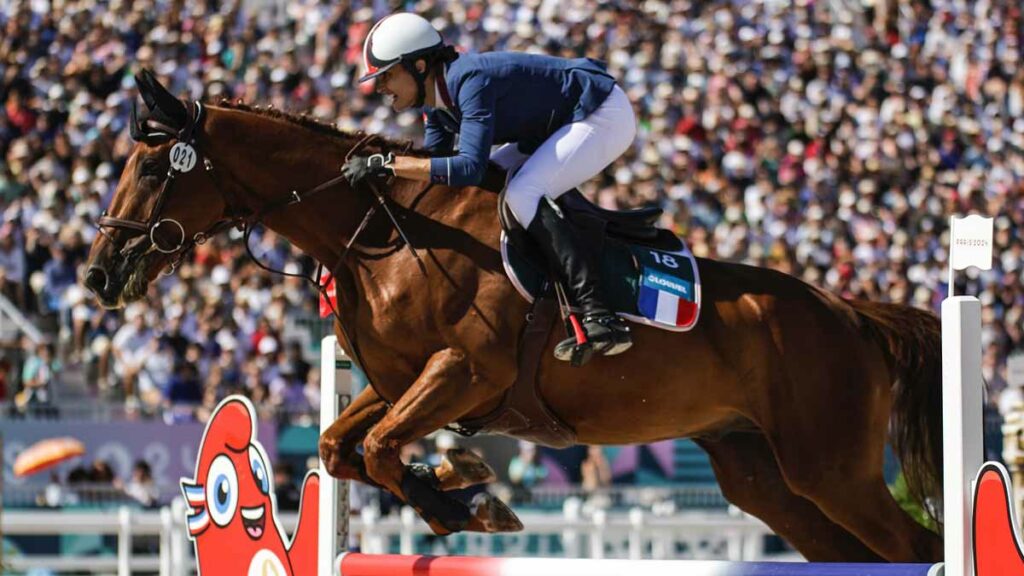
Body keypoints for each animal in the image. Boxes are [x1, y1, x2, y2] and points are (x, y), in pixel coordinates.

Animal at [88, 71, 942, 561]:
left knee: (912, 546)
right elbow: (342, 447)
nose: (99, 273)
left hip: (830, 468)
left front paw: (468, 493)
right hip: (763, 477)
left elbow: (383, 448)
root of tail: (851, 315)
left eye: (155, 166)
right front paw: (461, 487)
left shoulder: (465, 371)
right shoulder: (395, 382)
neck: (379, 231)